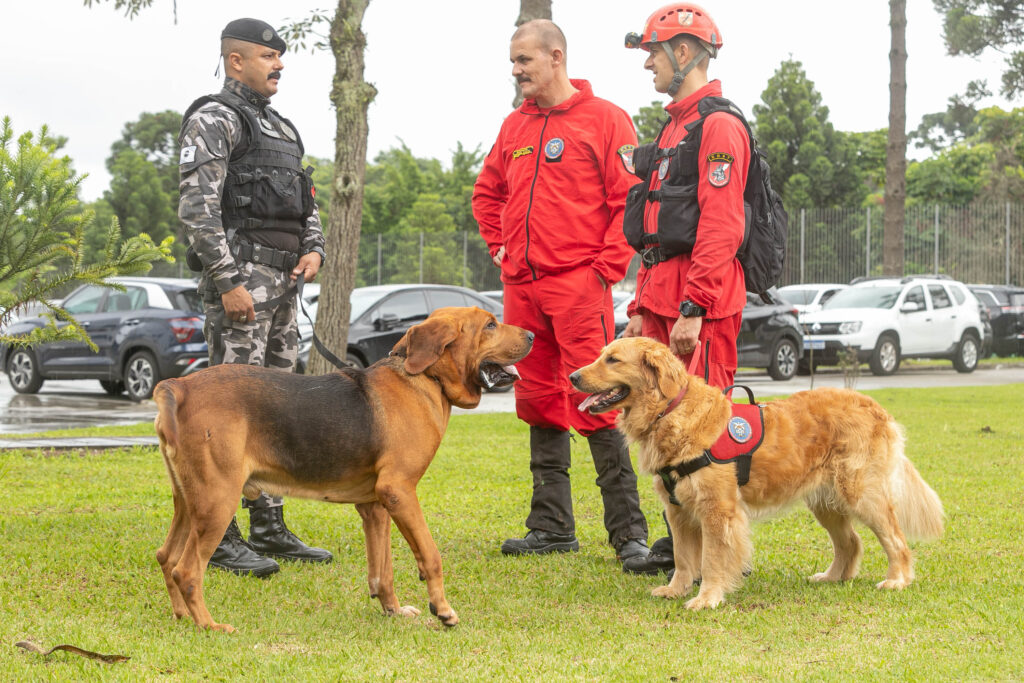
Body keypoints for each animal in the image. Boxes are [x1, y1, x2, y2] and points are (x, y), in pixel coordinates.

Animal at [153, 307, 536, 634]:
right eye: (490, 325)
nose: (533, 335)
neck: (427, 379)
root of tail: (179, 386)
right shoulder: (400, 492)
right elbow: (430, 556)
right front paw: (442, 610)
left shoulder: (376, 505)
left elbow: (383, 572)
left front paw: (393, 611)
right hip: (217, 501)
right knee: (187, 570)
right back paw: (209, 625)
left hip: (188, 502)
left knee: (166, 557)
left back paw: (181, 616)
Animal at [569, 339, 942, 610]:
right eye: (601, 355)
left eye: (613, 360)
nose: (572, 377)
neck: (670, 412)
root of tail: (876, 407)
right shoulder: (678, 511)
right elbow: (684, 558)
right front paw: (676, 590)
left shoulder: (718, 511)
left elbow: (713, 560)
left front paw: (708, 598)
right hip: (825, 502)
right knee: (851, 542)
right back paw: (832, 577)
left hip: (862, 494)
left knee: (896, 540)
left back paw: (897, 580)